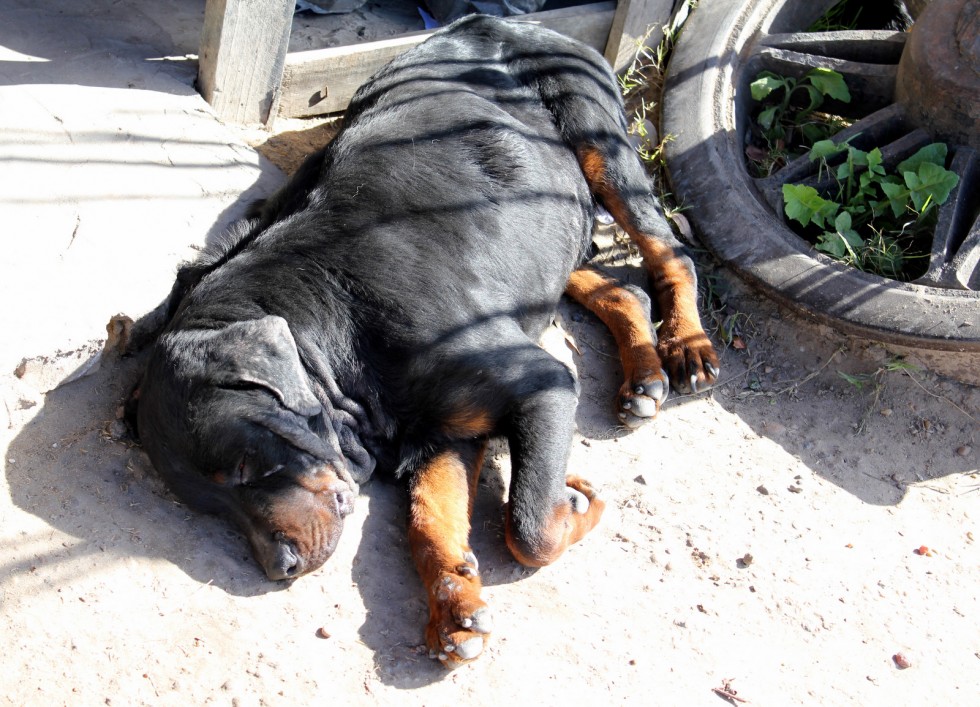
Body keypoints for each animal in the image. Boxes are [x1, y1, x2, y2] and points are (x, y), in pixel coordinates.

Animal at [126, 16, 720, 668]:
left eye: (240, 469)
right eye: (207, 505)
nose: (279, 566)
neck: (334, 339)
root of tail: (499, 19)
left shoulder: (542, 385)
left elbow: (529, 528)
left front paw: (578, 501)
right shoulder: (440, 434)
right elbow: (429, 521)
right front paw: (456, 608)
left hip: (598, 141)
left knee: (670, 250)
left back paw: (687, 346)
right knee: (620, 287)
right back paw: (644, 376)